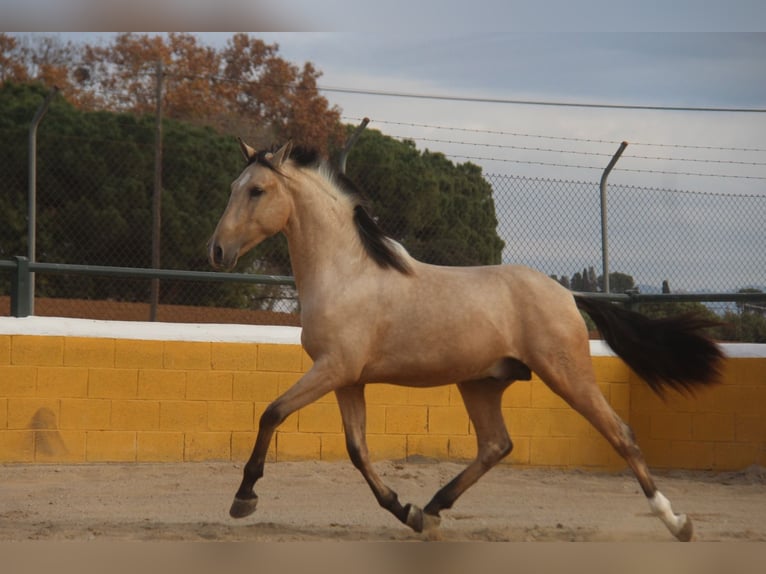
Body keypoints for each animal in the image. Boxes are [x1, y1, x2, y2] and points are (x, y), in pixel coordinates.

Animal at [207, 141, 724, 544]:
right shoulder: (349, 380)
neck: (346, 274)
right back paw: (432, 509)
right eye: (231, 186)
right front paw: (405, 510)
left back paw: (677, 522)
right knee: (496, 445)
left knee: (620, 433)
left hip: (566, 373)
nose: (216, 251)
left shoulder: (333, 369)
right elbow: (358, 450)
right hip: (481, 383)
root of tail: (566, 293)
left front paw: (243, 498)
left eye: (257, 190)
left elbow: (272, 413)